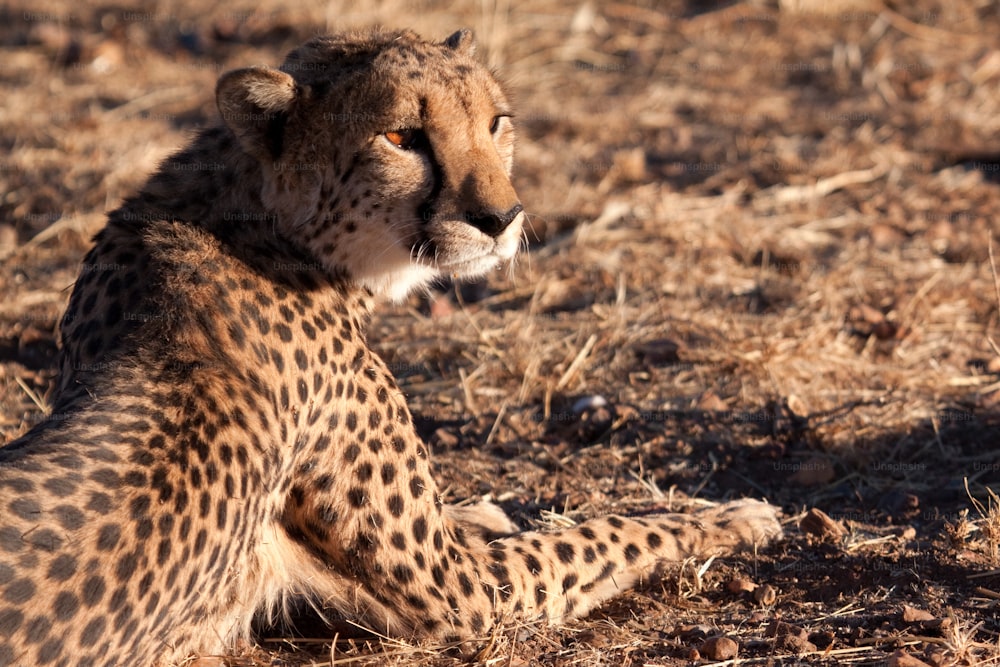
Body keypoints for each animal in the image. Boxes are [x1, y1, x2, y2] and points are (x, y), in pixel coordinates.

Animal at [0, 28, 780, 664]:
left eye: (496, 123)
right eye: (403, 137)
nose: (502, 218)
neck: (247, 221)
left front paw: (480, 510)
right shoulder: (464, 594)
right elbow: (601, 534)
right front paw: (730, 516)